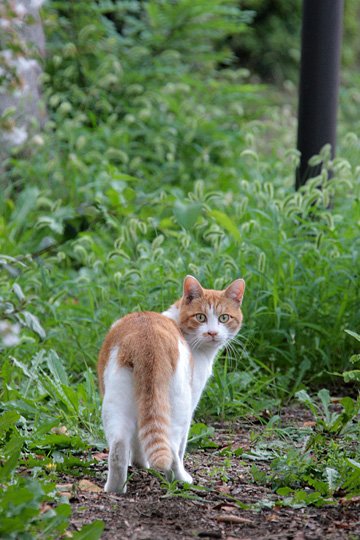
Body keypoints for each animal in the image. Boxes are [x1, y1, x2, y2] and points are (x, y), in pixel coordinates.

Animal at [97, 276, 245, 492]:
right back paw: (181, 479)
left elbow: (139, 440)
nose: (212, 333)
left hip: (116, 402)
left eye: (224, 318)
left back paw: (114, 490)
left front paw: (141, 463)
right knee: (173, 449)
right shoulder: (191, 402)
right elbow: (181, 447)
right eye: (200, 317)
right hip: (178, 405)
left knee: (118, 448)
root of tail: (146, 339)